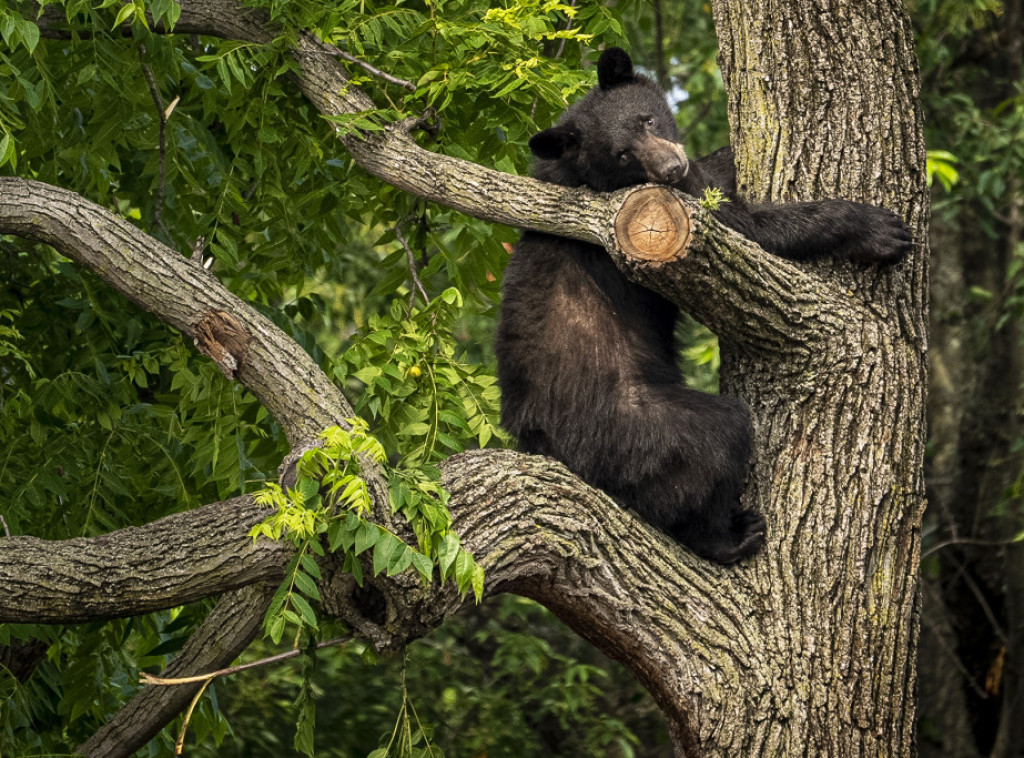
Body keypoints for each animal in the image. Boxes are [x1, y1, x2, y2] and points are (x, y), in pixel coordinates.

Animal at [495, 44, 913, 561]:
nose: (670, 168)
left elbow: (713, 180)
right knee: (714, 443)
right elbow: (748, 230)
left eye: (649, 119)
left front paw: (723, 155)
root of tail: (541, 442)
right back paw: (730, 535)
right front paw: (877, 230)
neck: (577, 179)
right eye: (622, 154)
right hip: (636, 426)